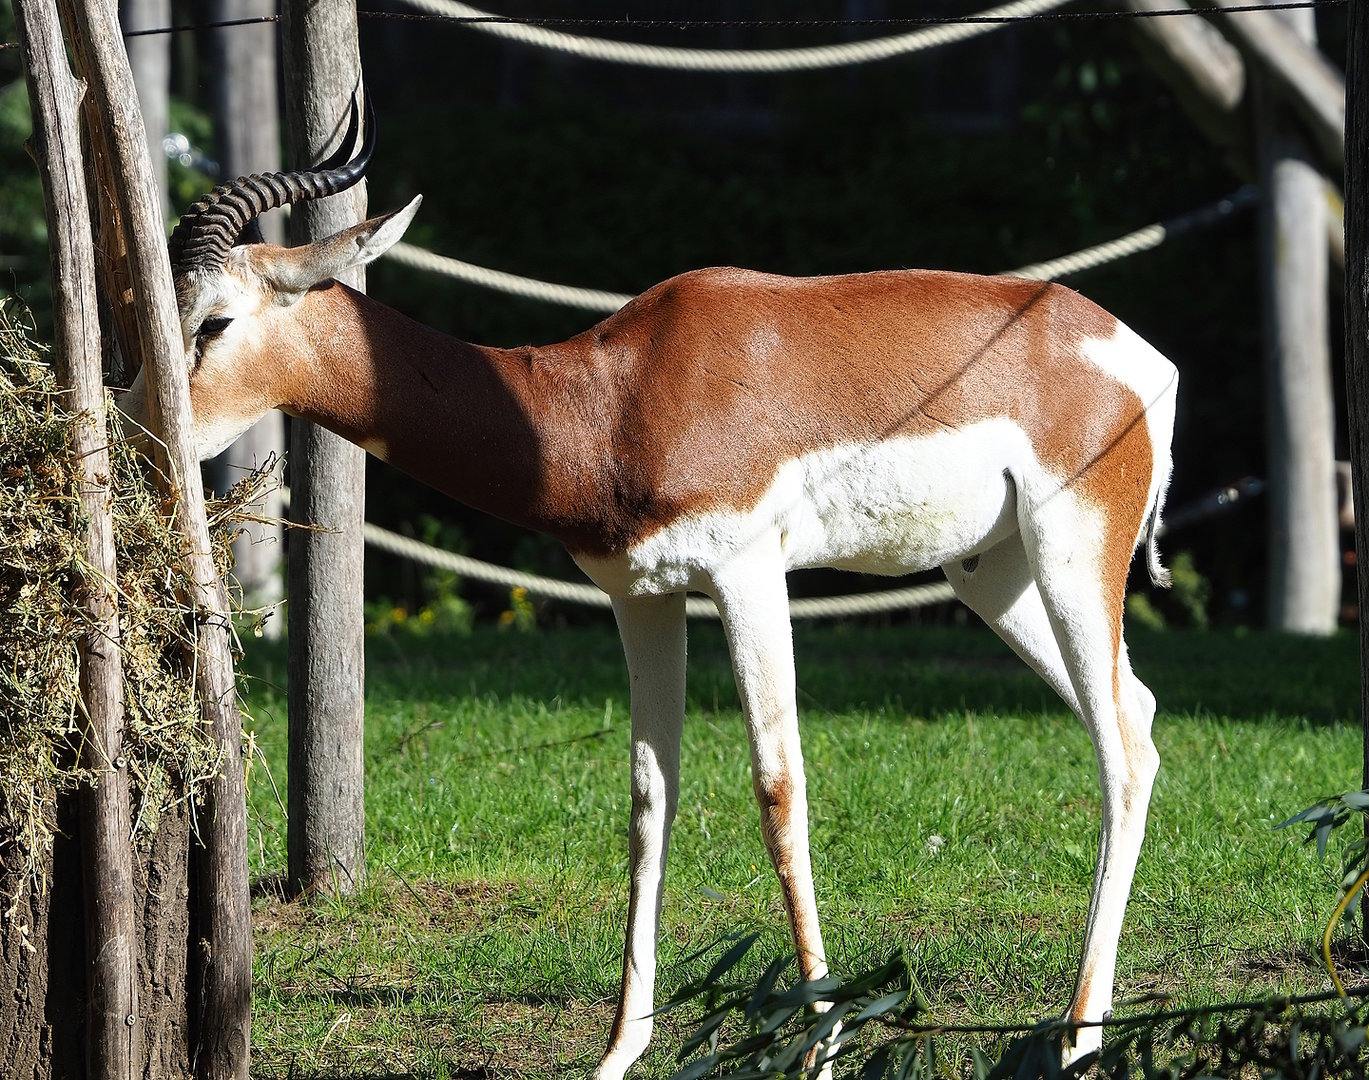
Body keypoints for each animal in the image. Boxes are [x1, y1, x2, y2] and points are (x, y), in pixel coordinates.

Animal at [122, 105, 1176, 1077]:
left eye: (214, 319)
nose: (134, 437)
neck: (603, 400)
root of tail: (1137, 356)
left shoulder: (747, 575)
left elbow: (778, 789)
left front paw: (821, 1048)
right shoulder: (643, 597)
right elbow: (645, 800)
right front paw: (618, 1050)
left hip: (1072, 553)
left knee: (1119, 748)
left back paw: (1079, 1036)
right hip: (992, 573)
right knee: (1139, 712)